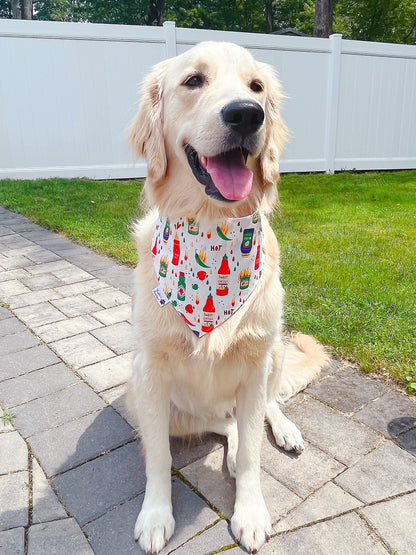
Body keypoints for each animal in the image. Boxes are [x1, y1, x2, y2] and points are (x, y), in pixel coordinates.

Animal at [127, 41, 328, 552]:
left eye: (256, 87)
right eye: (193, 80)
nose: (246, 114)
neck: (212, 227)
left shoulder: (255, 364)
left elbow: (256, 449)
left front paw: (251, 511)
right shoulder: (148, 371)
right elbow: (158, 456)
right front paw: (155, 514)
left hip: (274, 351)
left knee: (259, 412)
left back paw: (283, 430)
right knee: (225, 423)